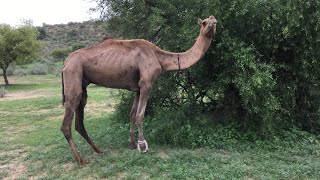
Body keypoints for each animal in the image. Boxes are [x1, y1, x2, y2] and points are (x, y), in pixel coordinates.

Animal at [60, 16, 218, 164]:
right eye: (204, 22)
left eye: (215, 21)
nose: (211, 25)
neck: (159, 57)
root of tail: (66, 62)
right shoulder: (146, 83)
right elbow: (140, 115)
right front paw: (142, 146)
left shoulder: (137, 88)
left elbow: (132, 114)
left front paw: (132, 143)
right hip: (73, 73)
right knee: (66, 123)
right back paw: (80, 159)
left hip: (82, 84)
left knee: (79, 121)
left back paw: (98, 150)